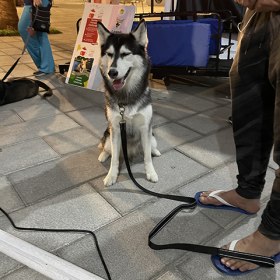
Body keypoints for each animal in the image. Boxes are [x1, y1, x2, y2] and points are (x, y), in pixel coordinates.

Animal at [97, 19, 161, 186]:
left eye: (125, 54)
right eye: (109, 54)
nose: (112, 73)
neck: (126, 96)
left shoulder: (145, 127)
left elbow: (147, 156)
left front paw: (151, 172)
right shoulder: (115, 128)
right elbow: (114, 159)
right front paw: (111, 175)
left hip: (152, 136)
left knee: (149, 147)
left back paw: (155, 151)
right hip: (109, 135)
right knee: (108, 149)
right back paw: (103, 155)